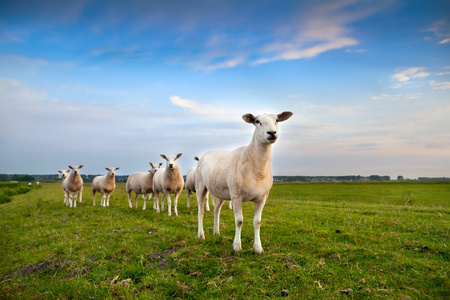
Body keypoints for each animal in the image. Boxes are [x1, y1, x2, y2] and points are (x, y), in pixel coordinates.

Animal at [195, 111, 294, 254]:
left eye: (276, 120)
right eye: (257, 121)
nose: (272, 133)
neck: (257, 171)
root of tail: (206, 153)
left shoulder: (262, 198)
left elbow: (257, 222)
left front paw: (258, 248)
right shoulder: (236, 196)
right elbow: (239, 221)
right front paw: (237, 246)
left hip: (221, 191)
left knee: (216, 209)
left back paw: (216, 231)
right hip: (201, 186)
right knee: (201, 211)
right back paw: (201, 235)